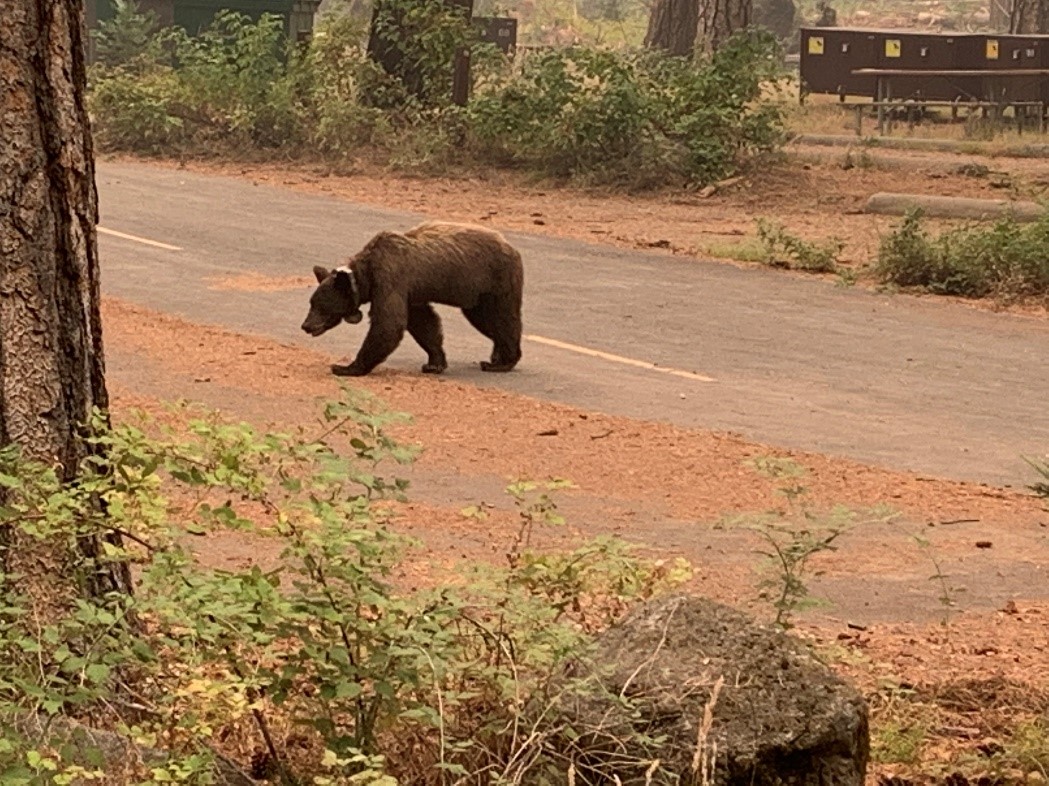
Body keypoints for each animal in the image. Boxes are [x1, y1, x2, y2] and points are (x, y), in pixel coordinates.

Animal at [302, 220, 522, 377]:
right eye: (311, 303)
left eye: (321, 306)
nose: (306, 325)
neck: (366, 276)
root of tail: (511, 247)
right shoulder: (412, 293)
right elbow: (423, 323)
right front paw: (434, 362)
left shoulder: (391, 279)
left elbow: (389, 323)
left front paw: (345, 367)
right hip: (475, 293)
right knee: (486, 321)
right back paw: (496, 356)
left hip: (494, 281)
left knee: (501, 318)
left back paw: (502, 361)